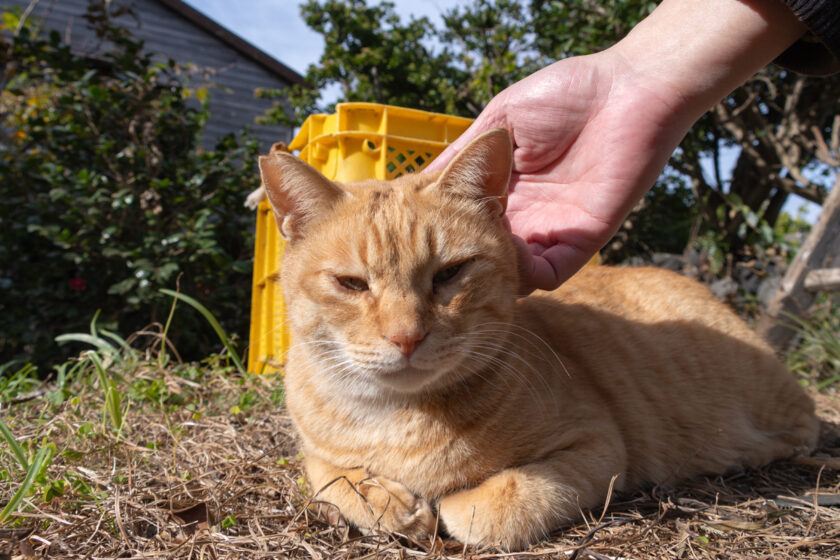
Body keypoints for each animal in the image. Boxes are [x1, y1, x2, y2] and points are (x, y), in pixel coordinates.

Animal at [258, 129, 820, 548]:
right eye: (351, 284)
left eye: (450, 274)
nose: (406, 337)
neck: (401, 419)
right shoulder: (314, 451)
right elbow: (331, 477)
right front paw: (391, 504)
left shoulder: (597, 445)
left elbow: (489, 506)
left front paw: (443, 507)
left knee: (802, 429)